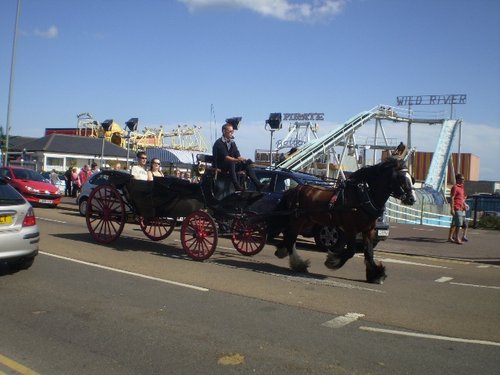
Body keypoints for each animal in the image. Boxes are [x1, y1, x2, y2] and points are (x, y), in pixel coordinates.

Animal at [268, 156, 416, 284]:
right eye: (401, 179)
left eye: (411, 179)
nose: (412, 199)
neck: (363, 197)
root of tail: (294, 189)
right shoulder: (350, 228)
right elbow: (350, 251)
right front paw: (332, 261)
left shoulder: (368, 231)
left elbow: (369, 253)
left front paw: (376, 275)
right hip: (297, 220)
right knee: (290, 239)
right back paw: (298, 264)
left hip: (306, 221)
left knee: (289, 237)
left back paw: (284, 253)